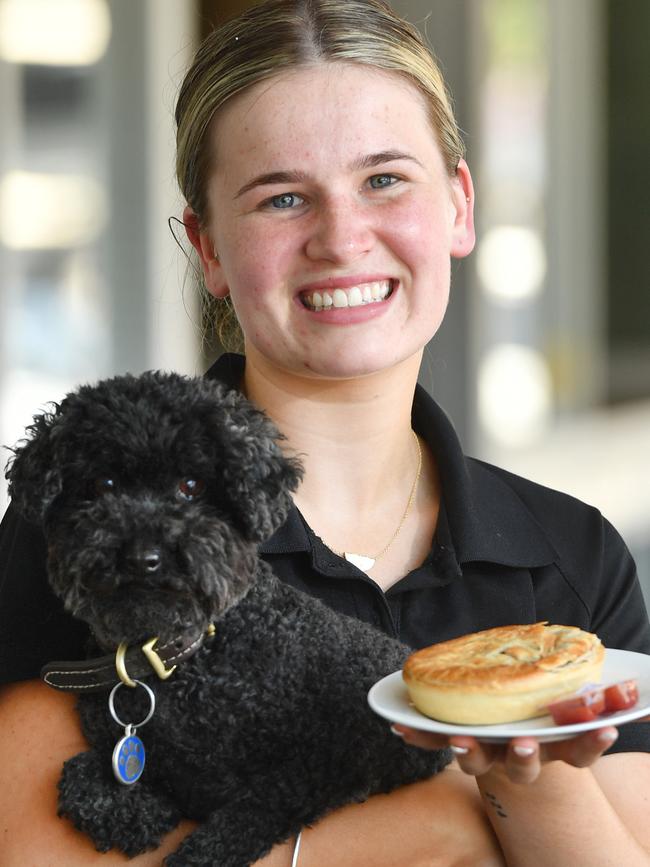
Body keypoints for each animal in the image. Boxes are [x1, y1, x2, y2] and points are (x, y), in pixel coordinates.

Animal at [6, 372, 450, 867]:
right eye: (103, 484)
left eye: (191, 485)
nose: (143, 558)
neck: (187, 659)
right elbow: (79, 774)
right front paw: (139, 811)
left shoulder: (321, 764)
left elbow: (253, 812)